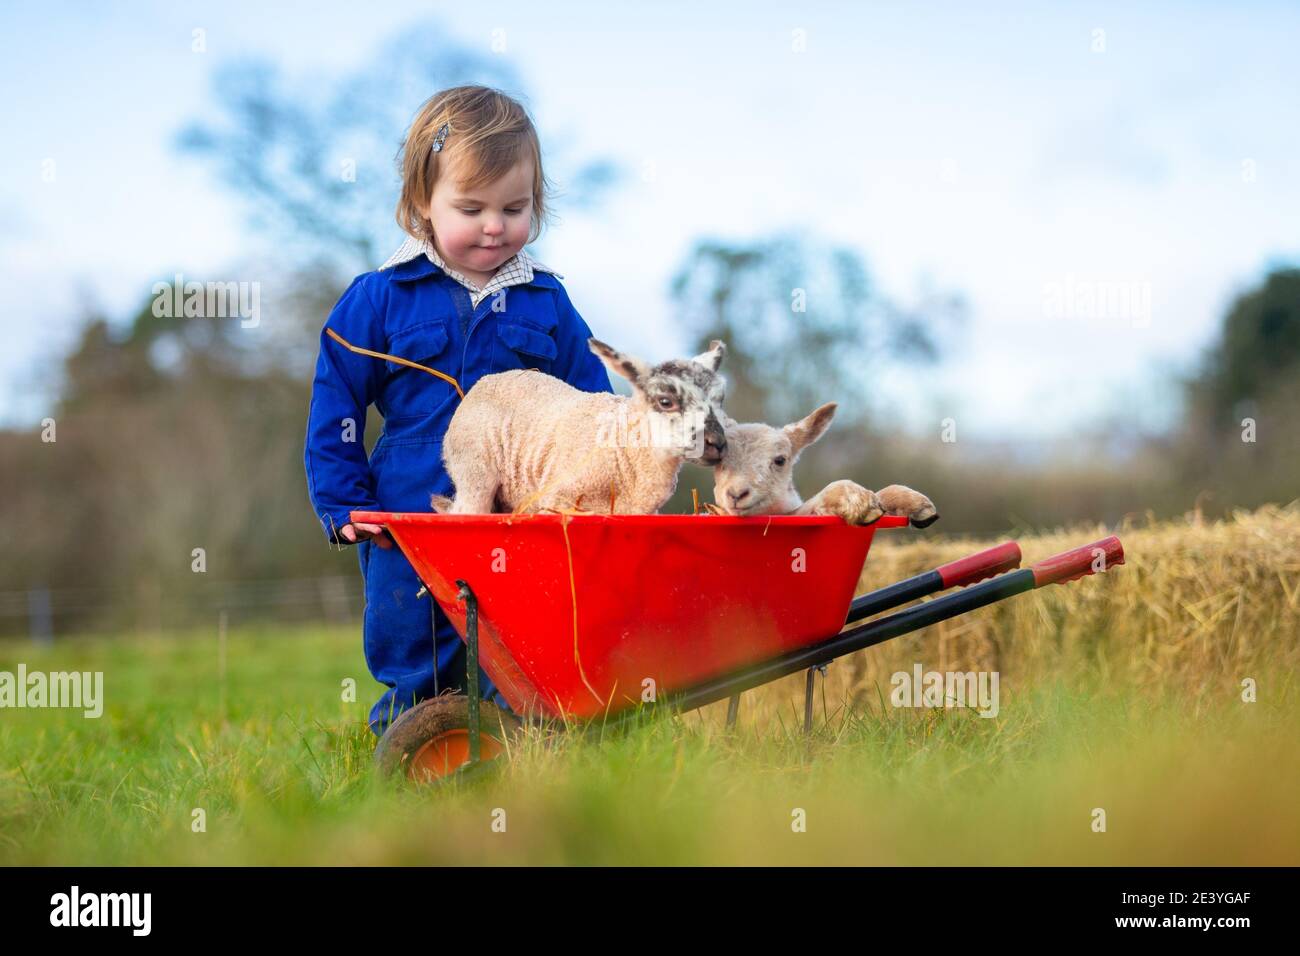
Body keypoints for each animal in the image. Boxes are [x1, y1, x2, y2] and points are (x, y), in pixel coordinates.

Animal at [431, 338, 728, 515]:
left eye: (719, 399)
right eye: (666, 401)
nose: (717, 444)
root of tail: (482, 382)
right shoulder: (556, 501)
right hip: (473, 473)